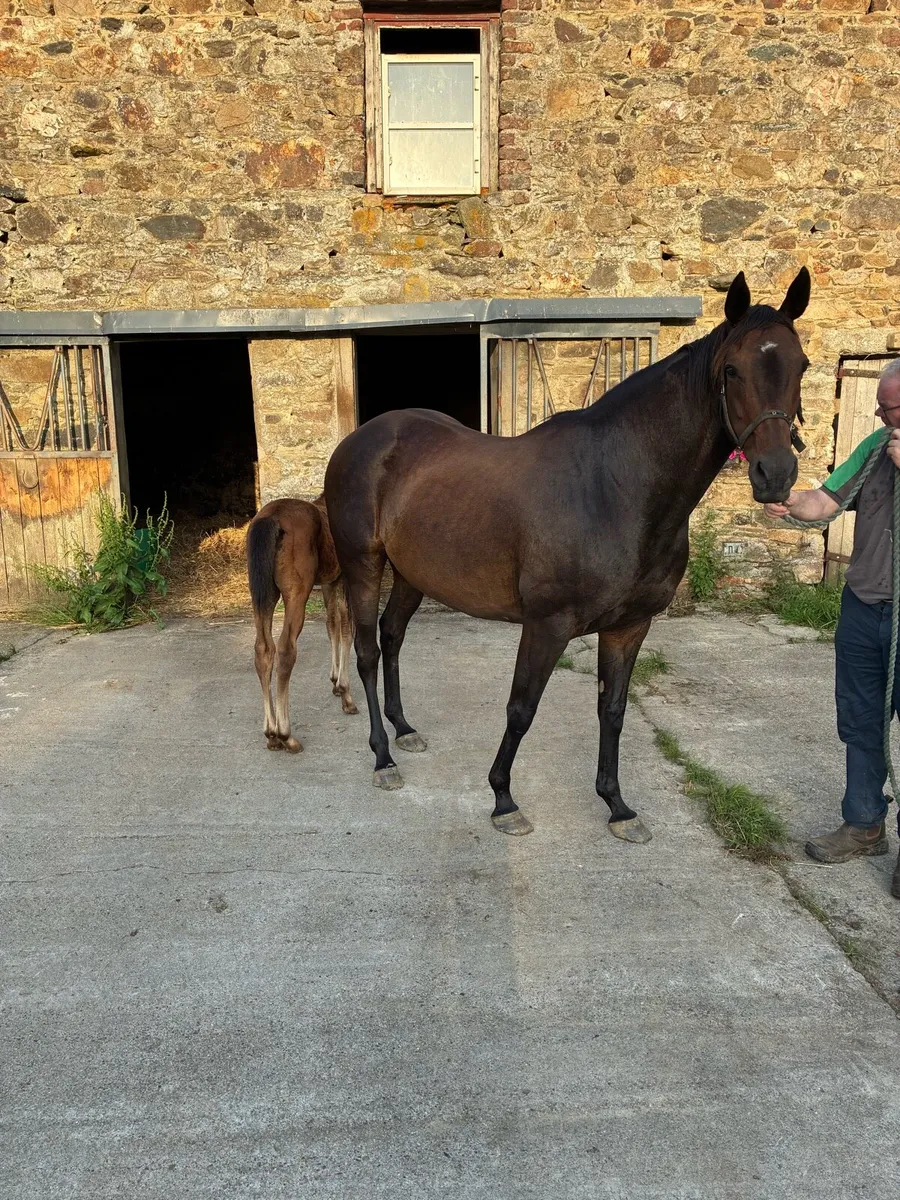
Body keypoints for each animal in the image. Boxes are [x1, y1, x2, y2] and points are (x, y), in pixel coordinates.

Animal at [246, 494, 357, 754]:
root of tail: (271, 518)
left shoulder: (330, 581)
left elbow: (332, 624)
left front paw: (335, 682)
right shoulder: (345, 578)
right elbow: (347, 628)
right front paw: (346, 694)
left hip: (263, 594)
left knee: (263, 650)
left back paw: (271, 735)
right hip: (296, 593)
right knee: (286, 649)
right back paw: (286, 735)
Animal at [323, 269, 810, 840]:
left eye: (801, 365)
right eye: (733, 369)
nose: (776, 475)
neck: (614, 488)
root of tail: (361, 439)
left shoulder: (630, 626)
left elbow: (613, 710)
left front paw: (617, 805)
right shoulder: (547, 625)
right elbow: (521, 709)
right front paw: (503, 800)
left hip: (411, 574)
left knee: (392, 636)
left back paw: (403, 729)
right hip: (364, 566)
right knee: (367, 652)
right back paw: (383, 757)